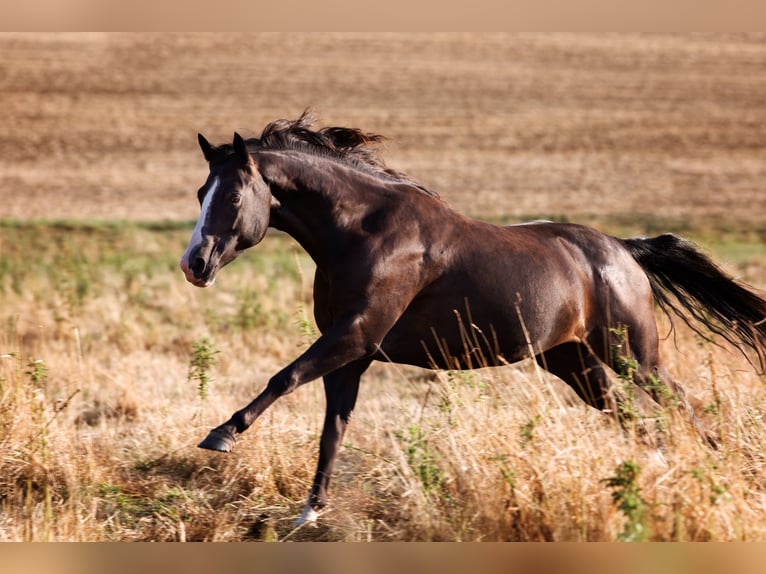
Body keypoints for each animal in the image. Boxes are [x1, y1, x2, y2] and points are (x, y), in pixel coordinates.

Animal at [183, 112, 766, 528]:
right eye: (199, 192)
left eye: (232, 194)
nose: (195, 264)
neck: (363, 233)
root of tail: (623, 249)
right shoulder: (351, 354)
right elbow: (333, 427)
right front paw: (309, 512)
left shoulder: (355, 336)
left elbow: (284, 377)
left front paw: (221, 435)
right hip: (574, 363)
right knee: (633, 418)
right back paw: (668, 471)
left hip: (631, 354)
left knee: (677, 400)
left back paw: (719, 468)